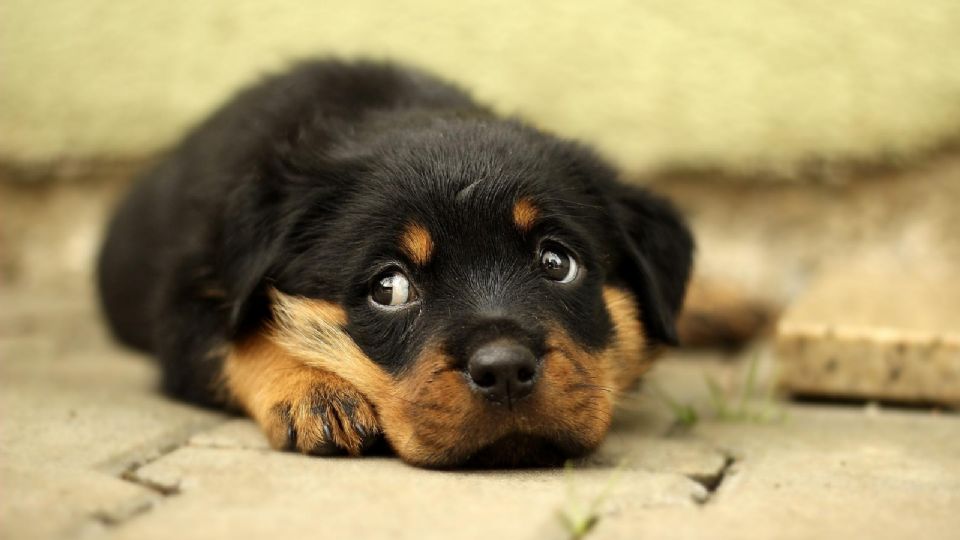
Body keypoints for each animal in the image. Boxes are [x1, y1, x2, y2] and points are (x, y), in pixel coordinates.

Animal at [97, 58, 692, 464]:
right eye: (390, 288)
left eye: (556, 263)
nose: (504, 370)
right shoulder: (190, 296)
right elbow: (240, 339)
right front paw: (314, 392)